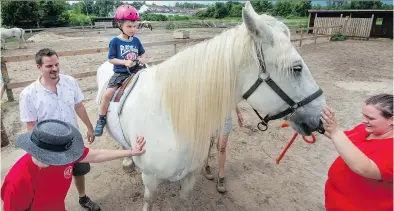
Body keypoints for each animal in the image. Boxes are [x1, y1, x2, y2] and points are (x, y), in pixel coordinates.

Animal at [95, 2, 326, 211]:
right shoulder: (150, 180)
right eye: (297, 68)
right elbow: (149, 201)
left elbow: (185, 201)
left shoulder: (190, 177)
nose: (321, 117)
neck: (171, 119)